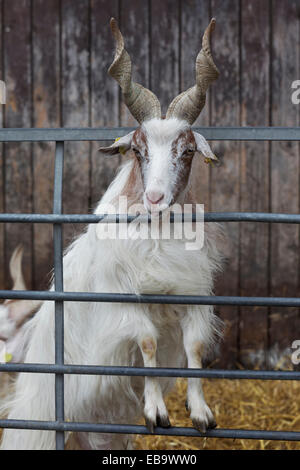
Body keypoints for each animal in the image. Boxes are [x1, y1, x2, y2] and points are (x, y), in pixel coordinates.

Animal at [0, 17, 225, 452]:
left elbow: (194, 347)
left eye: (187, 150)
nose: (154, 198)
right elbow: (148, 342)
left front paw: (202, 414)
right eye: (137, 150)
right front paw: (156, 412)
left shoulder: (192, 294)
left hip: (101, 431)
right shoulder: (125, 301)